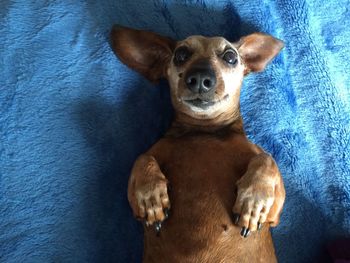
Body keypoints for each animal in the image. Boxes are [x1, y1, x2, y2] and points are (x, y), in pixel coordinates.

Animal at [110, 25, 286, 263]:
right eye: (181, 55)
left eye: (230, 56)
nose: (201, 77)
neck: (204, 130)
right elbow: (142, 157)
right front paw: (150, 198)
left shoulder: (275, 213)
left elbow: (267, 158)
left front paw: (253, 202)